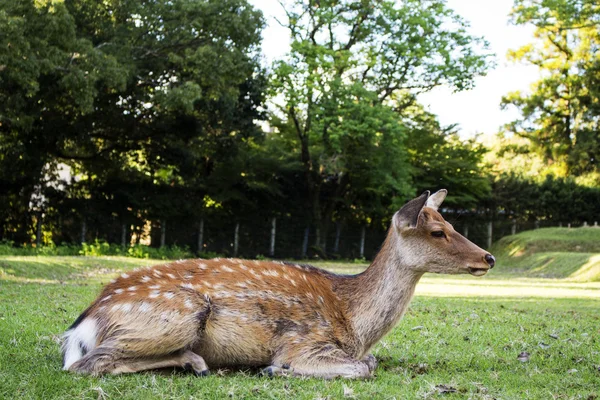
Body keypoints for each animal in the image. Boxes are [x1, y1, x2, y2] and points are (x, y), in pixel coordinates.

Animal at [63, 190, 496, 378]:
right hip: (179, 313)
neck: (354, 323)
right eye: (438, 232)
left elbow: (371, 362)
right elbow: (364, 367)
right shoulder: (304, 341)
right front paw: (277, 369)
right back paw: (199, 362)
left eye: (450, 223)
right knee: (87, 365)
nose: (488, 258)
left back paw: (195, 361)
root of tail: (84, 322)